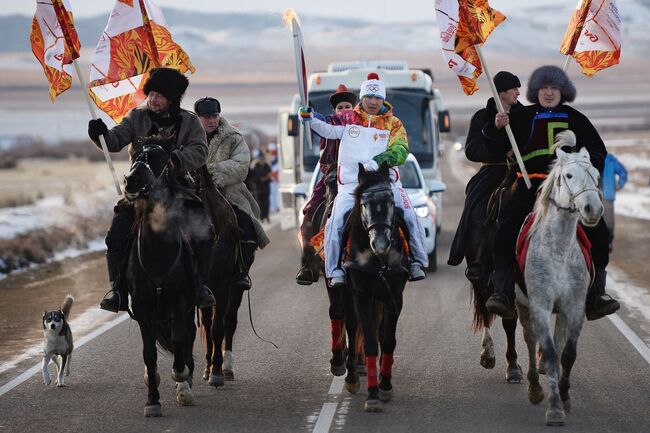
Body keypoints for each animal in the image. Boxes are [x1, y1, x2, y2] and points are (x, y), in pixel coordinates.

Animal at [121, 138, 202, 416]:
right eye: (134, 156)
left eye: (159, 159)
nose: (130, 181)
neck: (157, 251)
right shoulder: (143, 308)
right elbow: (149, 354)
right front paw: (152, 400)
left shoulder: (180, 302)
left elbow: (179, 341)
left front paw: (181, 378)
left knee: (187, 337)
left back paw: (186, 382)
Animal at [512, 131, 600, 426]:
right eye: (569, 175)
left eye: (597, 175)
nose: (592, 209)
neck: (558, 250)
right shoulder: (539, 305)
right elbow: (550, 355)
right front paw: (553, 408)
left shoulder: (574, 308)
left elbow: (567, 355)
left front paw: (565, 397)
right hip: (522, 305)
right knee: (528, 340)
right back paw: (532, 386)